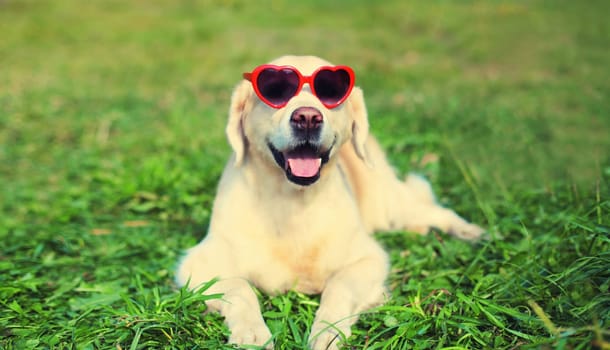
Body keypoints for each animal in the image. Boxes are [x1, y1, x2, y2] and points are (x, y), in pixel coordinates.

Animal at [175, 56, 480, 348]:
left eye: (330, 91)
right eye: (275, 89)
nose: (308, 117)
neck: (292, 203)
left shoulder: (368, 258)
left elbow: (339, 286)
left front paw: (327, 332)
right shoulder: (198, 262)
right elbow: (239, 288)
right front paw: (252, 333)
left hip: (390, 206)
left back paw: (471, 232)